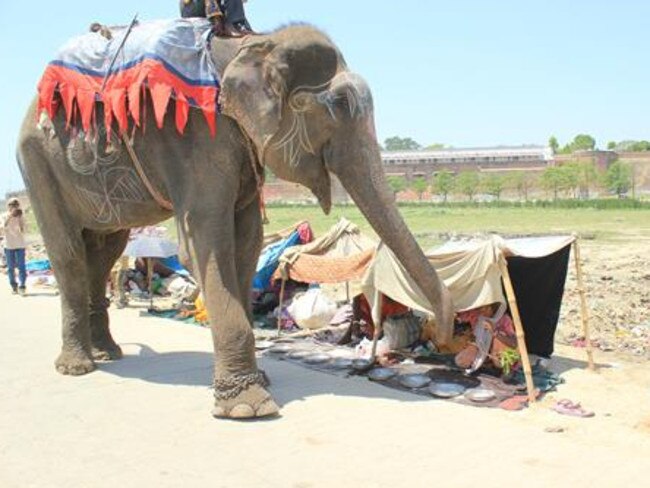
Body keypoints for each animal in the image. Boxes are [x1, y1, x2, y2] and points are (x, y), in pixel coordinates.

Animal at [16, 23, 450, 420]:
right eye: (338, 104)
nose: (442, 337)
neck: (252, 44)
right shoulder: (190, 138)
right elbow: (205, 245)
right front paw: (247, 408)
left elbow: (247, 245)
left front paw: (258, 383)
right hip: (38, 165)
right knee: (69, 252)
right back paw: (77, 367)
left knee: (106, 249)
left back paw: (109, 353)